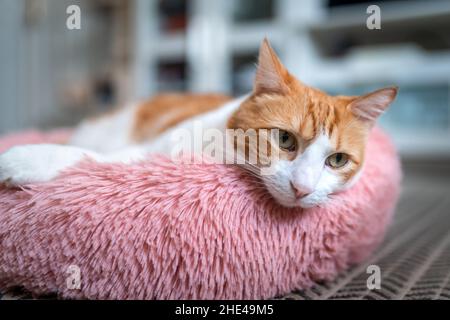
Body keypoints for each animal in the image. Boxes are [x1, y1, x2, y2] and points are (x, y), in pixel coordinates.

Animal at [0, 39, 396, 208]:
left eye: (337, 160)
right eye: (285, 140)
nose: (302, 189)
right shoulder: (147, 151)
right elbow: (88, 157)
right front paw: (26, 157)